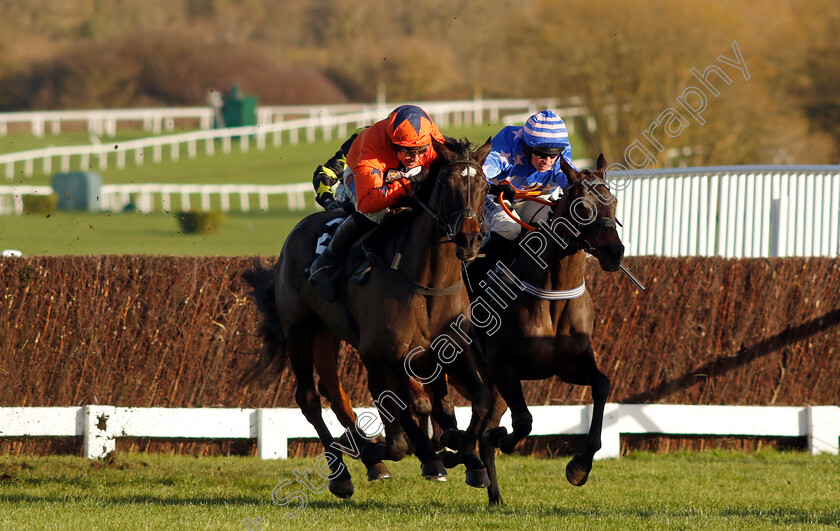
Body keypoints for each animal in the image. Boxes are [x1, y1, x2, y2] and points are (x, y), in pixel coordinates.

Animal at [243, 137, 492, 498]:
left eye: (485, 186)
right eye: (447, 185)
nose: (470, 238)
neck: (428, 282)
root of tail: (297, 231)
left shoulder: (449, 349)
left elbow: (477, 399)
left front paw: (469, 459)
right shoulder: (384, 353)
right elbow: (408, 413)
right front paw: (425, 454)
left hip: (328, 335)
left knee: (335, 392)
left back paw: (374, 460)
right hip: (299, 331)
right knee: (310, 399)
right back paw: (343, 471)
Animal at [466, 155, 624, 508]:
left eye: (614, 202)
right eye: (583, 207)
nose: (615, 253)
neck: (553, 295)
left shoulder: (569, 365)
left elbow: (603, 385)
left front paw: (579, 467)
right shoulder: (504, 365)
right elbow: (523, 421)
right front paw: (502, 439)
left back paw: (493, 493)